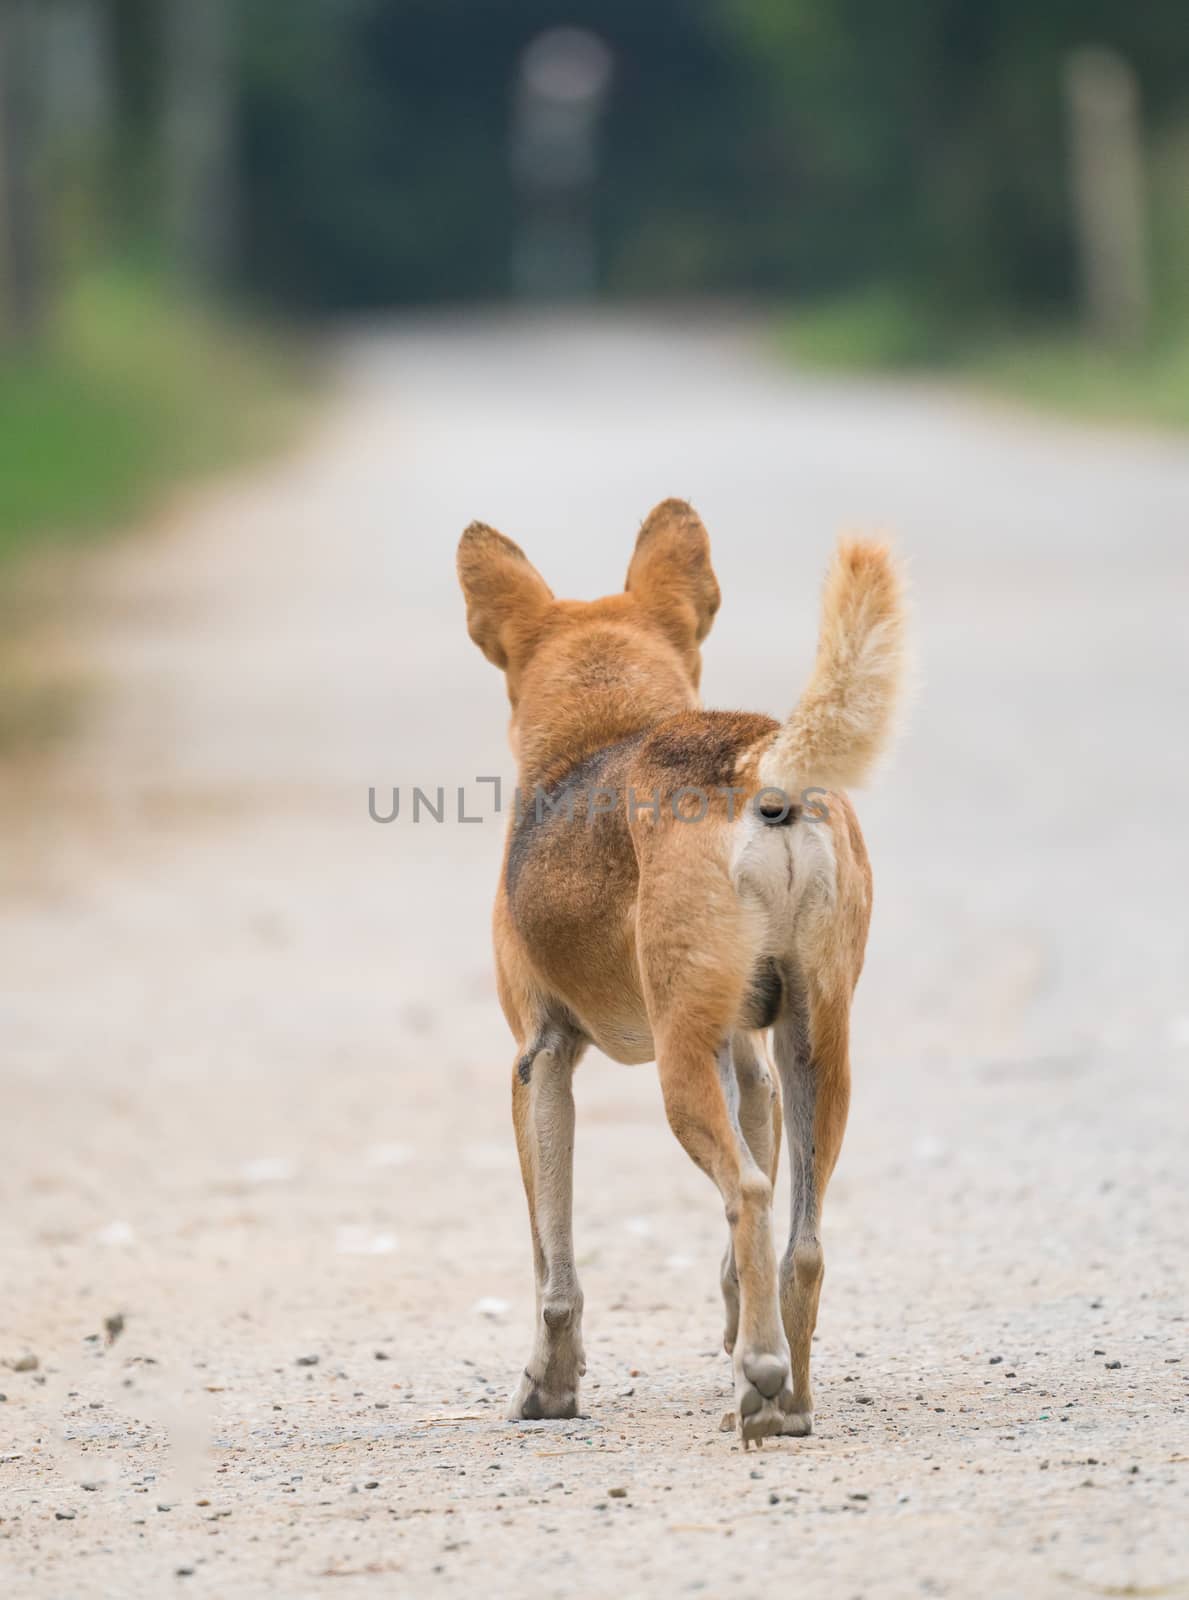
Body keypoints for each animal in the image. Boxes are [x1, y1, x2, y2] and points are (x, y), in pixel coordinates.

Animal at [460, 502, 908, 1452]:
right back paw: (783, 1401)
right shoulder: (748, 1062)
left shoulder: (539, 1064)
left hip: (675, 1064)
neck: (601, 731)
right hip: (815, 1053)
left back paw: (765, 1375)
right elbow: (745, 1253)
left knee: (747, 1191)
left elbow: (551, 1263)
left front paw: (549, 1387)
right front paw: (738, 1342)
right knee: (798, 1238)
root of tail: (755, 763)